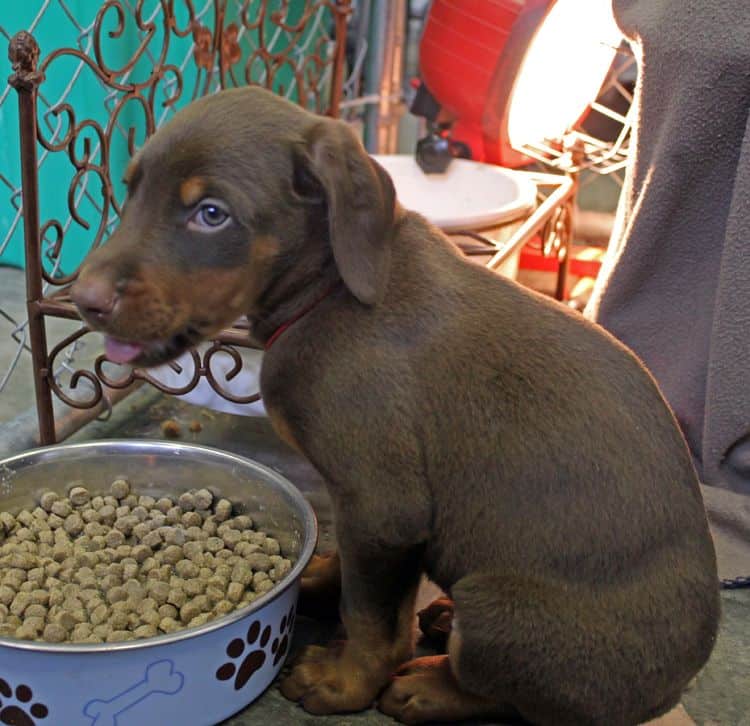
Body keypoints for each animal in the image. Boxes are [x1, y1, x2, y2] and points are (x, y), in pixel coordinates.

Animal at [72, 86, 724, 726]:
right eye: (131, 190)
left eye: (212, 214)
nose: (84, 299)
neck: (329, 292)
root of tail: (672, 690)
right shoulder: (366, 514)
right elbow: (358, 580)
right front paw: (318, 577)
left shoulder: (384, 507)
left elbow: (370, 619)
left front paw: (343, 684)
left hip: (497, 605)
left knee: (506, 694)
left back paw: (428, 689)